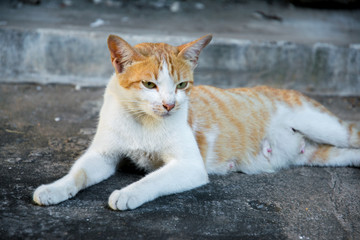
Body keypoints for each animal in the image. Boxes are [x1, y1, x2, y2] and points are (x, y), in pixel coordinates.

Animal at [33, 33, 360, 210]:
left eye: (182, 85)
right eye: (149, 84)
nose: (169, 104)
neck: (142, 121)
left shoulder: (190, 165)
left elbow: (153, 179)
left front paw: (128, 193)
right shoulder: (102, 156)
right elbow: (78, 174)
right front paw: (54, 189)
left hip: (327, 128)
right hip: (320, 154)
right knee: (344, 154)